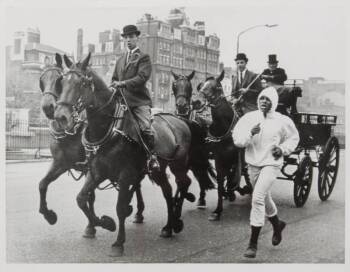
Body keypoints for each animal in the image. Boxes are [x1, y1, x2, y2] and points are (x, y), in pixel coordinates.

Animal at [39, 52, 146, 238]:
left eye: (58, 80)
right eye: (42, 80)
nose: (49, 108)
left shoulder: (90, 167)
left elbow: (89, 196)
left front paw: (93, 225)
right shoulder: (61, 163)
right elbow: (43, 184)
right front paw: (49, 215)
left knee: (136, 182)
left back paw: (136, 210)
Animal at [56, 53, 196, 258]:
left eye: (81, 83)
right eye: (62, 81)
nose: (60, 116)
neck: (108, 128)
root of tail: (178, 119)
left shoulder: (125, 175)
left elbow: (120, 208)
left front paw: (118, 243)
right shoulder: (96, 172)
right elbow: (81, 199)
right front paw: (105, 223)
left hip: (177, 165)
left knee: (182, 183)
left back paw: (175, 220)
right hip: (157, 169)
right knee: (168, 190)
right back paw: (169, 226)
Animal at [191, 70, 249, 221]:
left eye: (216, 87)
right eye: (200, 86)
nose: (196, 101)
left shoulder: (237, 158)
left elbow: (237, 175)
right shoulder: (219, 159)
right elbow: (221, 182)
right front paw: (218, 210)